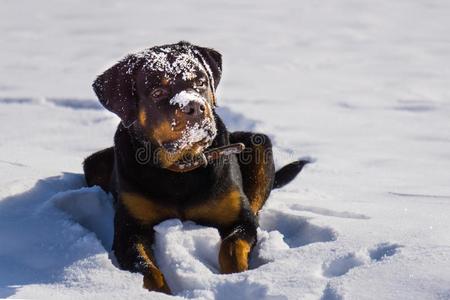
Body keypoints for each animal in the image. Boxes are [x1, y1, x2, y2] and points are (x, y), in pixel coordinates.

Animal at [83, 41, 310, 294]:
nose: (194, 106)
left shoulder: (240, 217)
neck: (181, 170)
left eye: (201, 82)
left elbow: (232, 244)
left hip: (259, 144)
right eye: (158, 92)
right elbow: (146, 268)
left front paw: (235, 279)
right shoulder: (129, 230)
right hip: (94, 163)